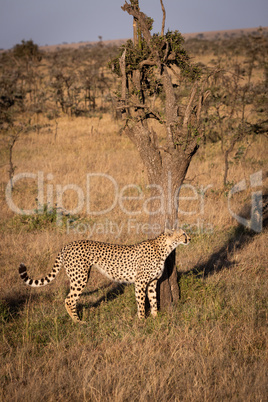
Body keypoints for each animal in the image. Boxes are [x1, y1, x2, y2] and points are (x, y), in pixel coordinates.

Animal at [18, 228, 191, 322]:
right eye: (183, 233)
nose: (189, 238)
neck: (163, 248)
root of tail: (68, 244)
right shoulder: (140, 282)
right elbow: (141, 302)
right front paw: (142, 320)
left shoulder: (152, 282)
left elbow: (153, 300)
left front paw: (155, 318)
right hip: (80, 277)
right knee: (69, 299)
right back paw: (78, 322)